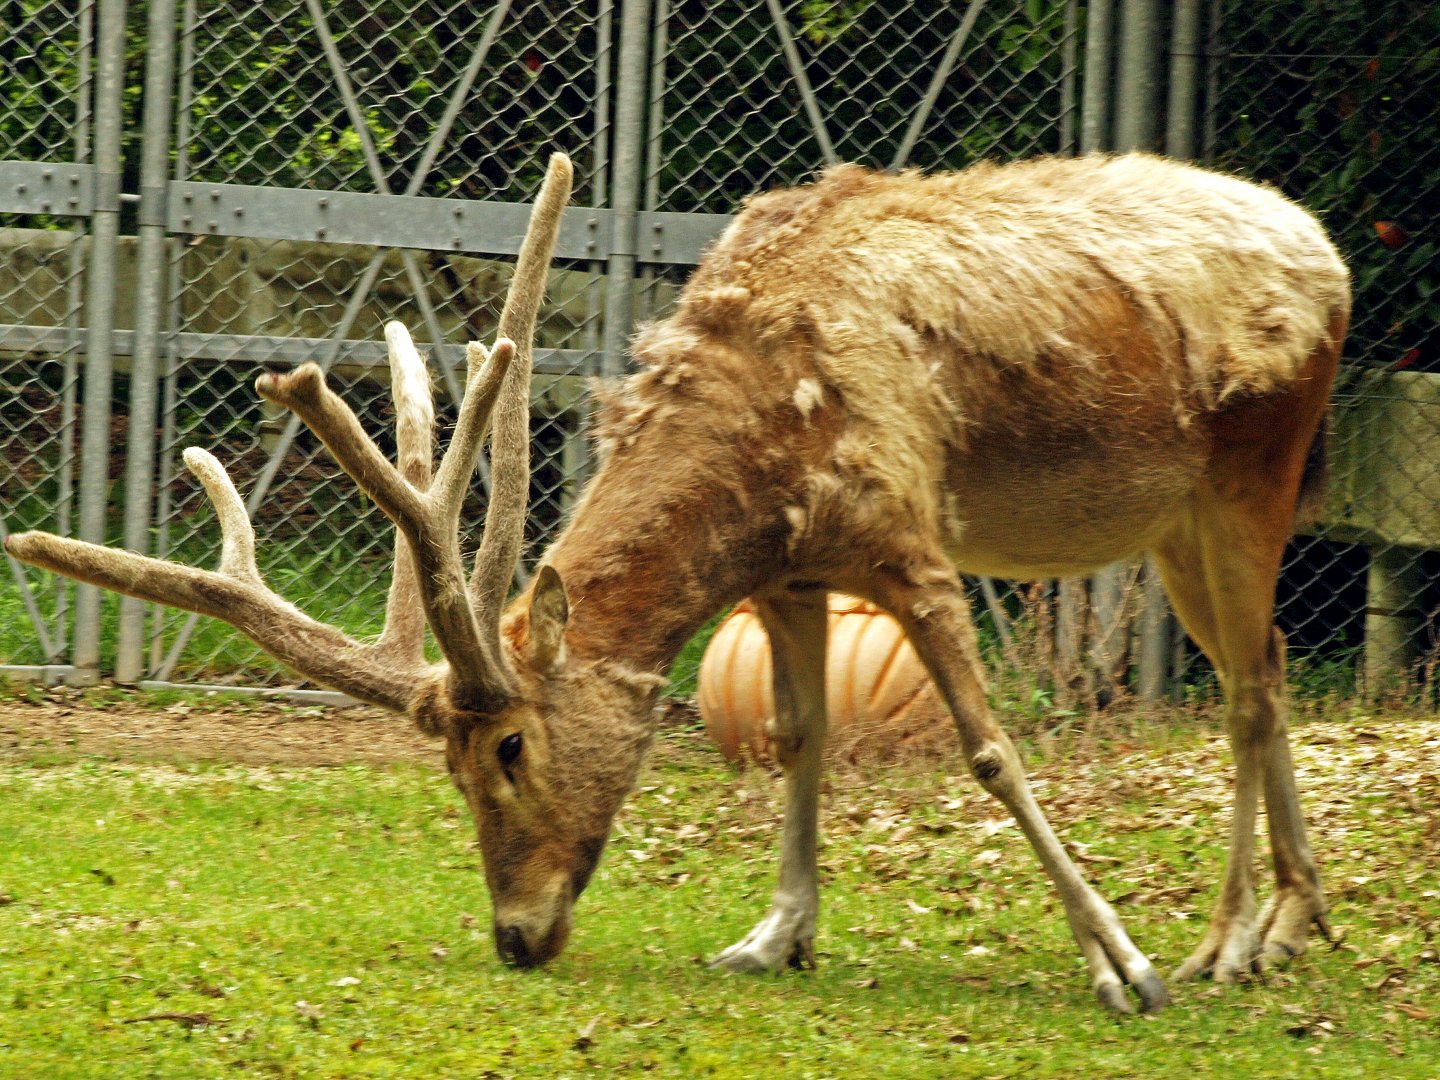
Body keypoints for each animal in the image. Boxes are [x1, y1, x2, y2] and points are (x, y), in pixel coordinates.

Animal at [5, 149, 1350, 1014]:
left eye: (508, 747)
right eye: (448, 766)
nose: (515, 937)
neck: (757, 455)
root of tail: (1328, 250)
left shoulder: (910, 537)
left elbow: (986, 749)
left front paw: (1122, 967)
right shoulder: (791, 574)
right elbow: (803, 735)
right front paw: (774, 936)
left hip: (1256, 467)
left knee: (1246, 689)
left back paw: (1224, 944)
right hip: (1175, 522)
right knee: (1272, 665)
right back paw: (1295, 926)